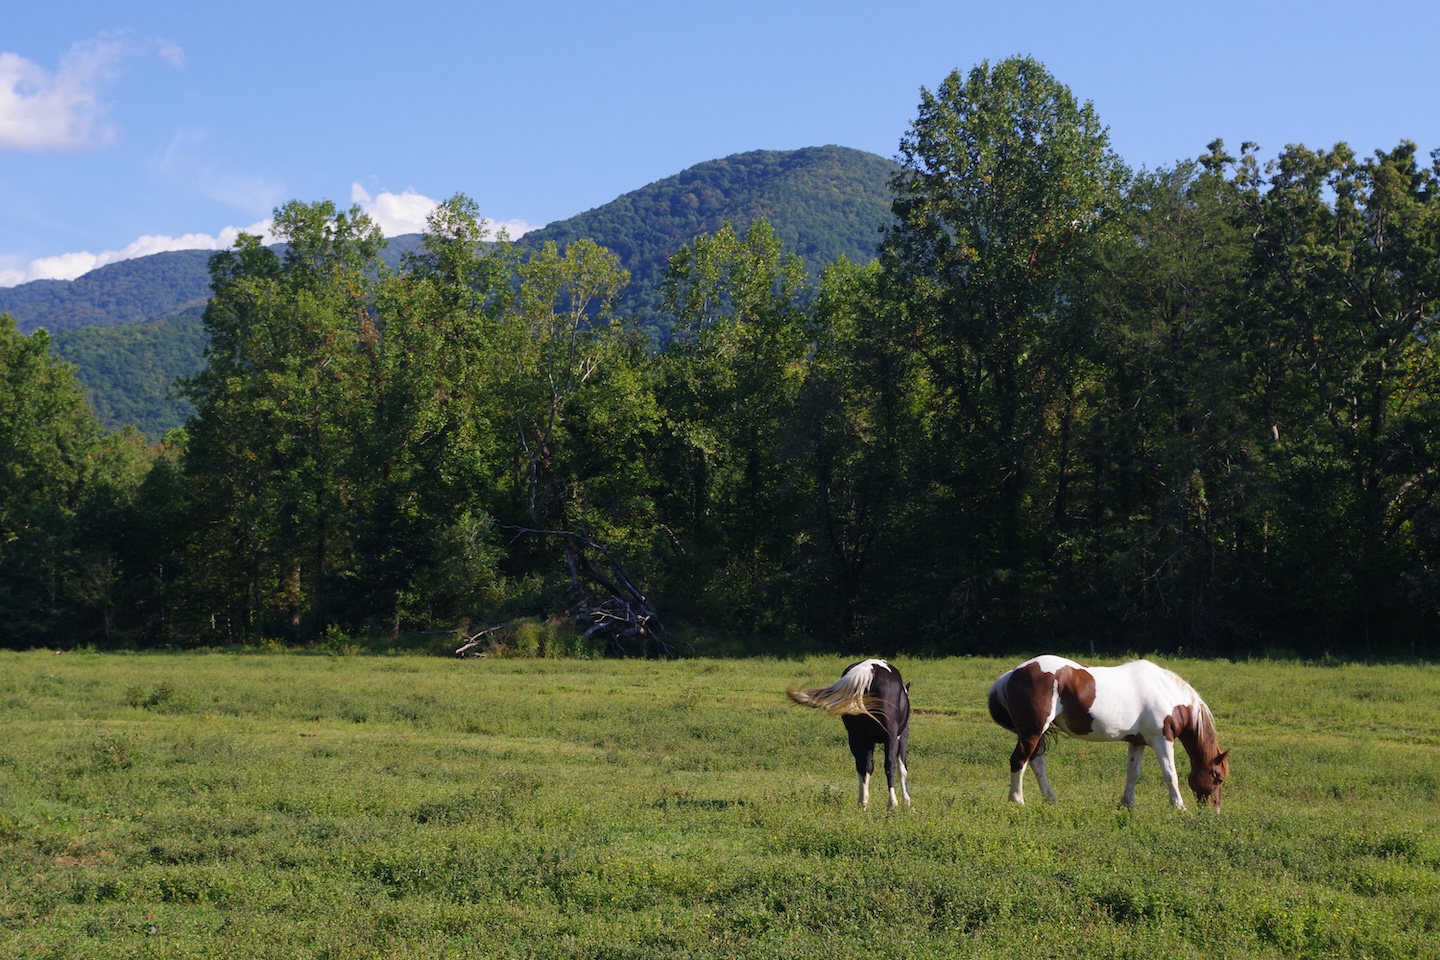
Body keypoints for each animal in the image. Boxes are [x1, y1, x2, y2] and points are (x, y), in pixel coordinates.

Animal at [788, 659, 912, 808]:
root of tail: (869, 670)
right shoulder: (902, 736)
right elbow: (902, 768)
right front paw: (907, 800)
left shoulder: (868, 741)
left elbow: (869, 767)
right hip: (890, 736)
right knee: (889, 764)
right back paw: (892, 803)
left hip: (855, 738)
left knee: (862, 766)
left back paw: (862, 802)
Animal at [987, 655, 1229, 810]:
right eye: (1218, 779)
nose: (1214, 811)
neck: (1167, 693)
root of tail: (1012, 673)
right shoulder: (1162, 740)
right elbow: (1171, 774)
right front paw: (1179, 807)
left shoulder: (1137, 742)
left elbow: (1133, 773)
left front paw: (1128, 804)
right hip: (1032, 731)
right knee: (1019, 761)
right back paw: (1017, 801)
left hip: (1034, 733)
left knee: (1036, 763)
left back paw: (1050, 800)